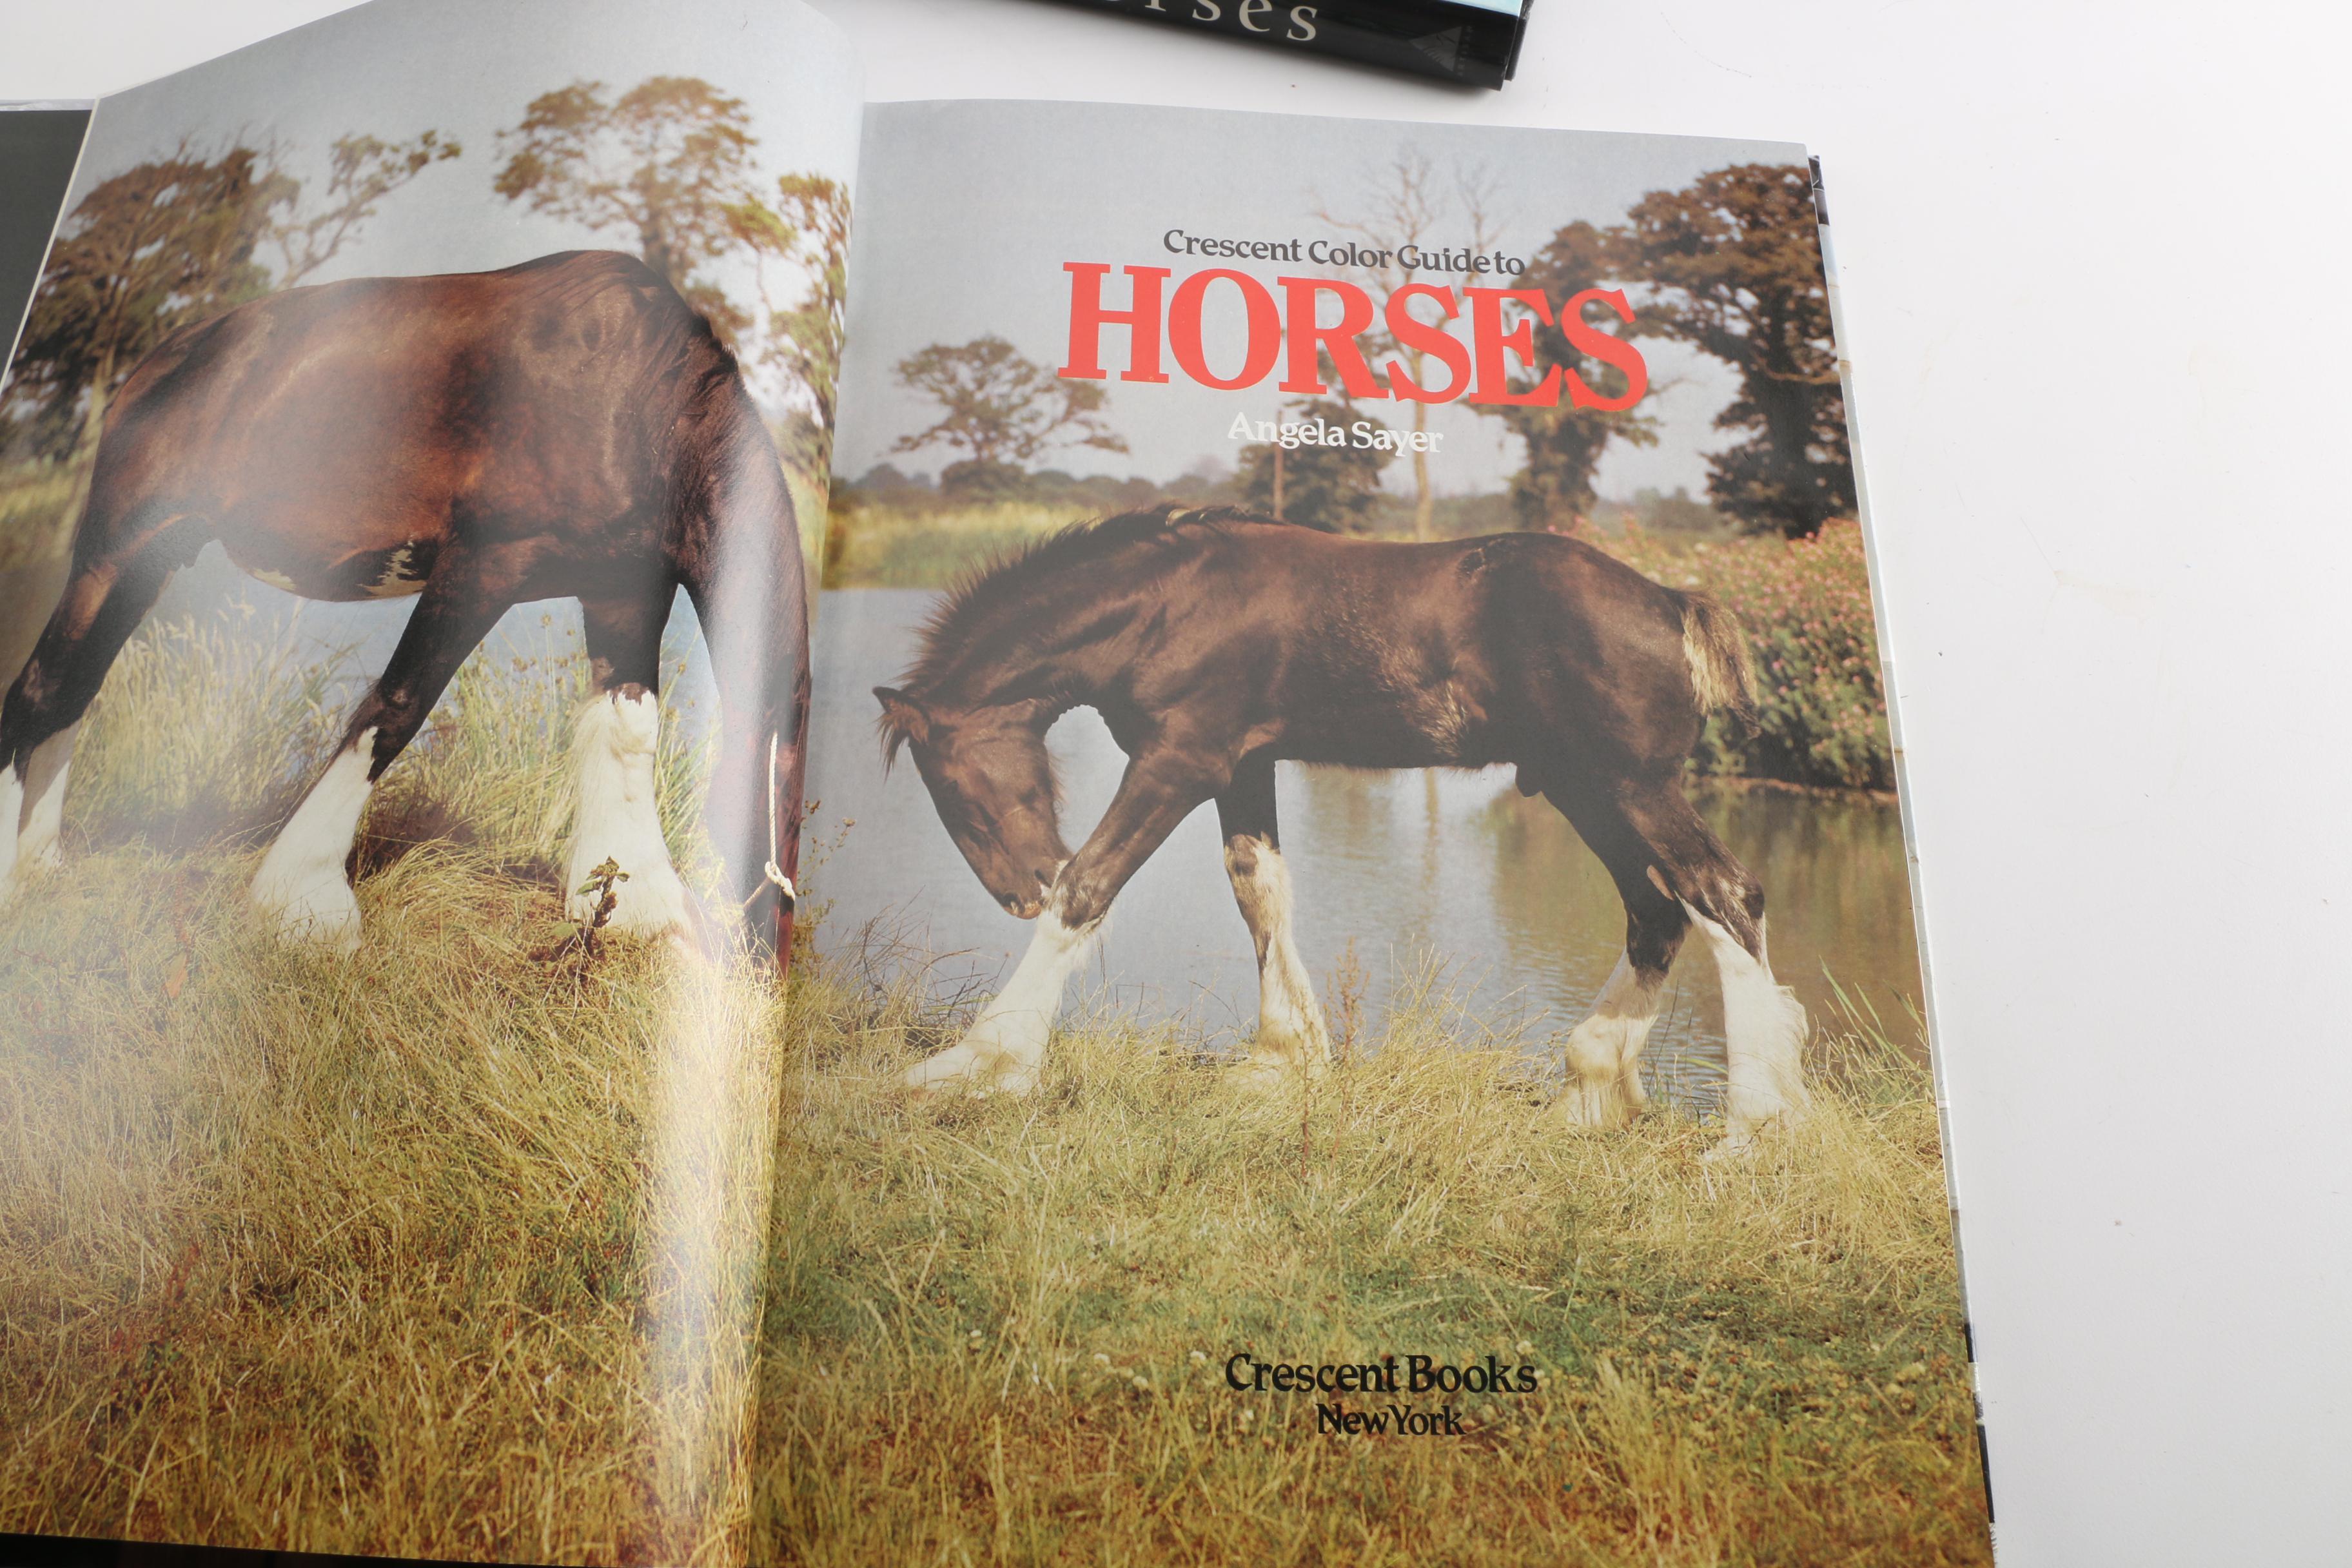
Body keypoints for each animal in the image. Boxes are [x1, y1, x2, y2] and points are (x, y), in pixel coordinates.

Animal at [0, 250, 807, 960]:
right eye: (788, 825)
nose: (765, 977)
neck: (642, 400)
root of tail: (156, 363)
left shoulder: (620, 594)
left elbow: (628, 728)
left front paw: (637, 906)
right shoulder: (486, 564)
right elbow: (396, 707)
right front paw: (304, 902)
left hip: (153, 561)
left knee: (74, 687)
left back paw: (41, 857)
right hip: (115, 551)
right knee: (39, 688)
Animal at [873, 504, 1810, 1149]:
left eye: (944, 783)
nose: (1019, 891)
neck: (1169, 606)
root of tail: (1672, 601)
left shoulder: (1181, 760)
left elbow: (1091, 890)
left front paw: (980, 1064)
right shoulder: (1242, 766)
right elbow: (1259, 889)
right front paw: (1286, 1058)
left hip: (1631, 786)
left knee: (1725, 895)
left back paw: (1755, 1129)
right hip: (1587, 789)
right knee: (1657, 914)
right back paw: (1589, 1091)